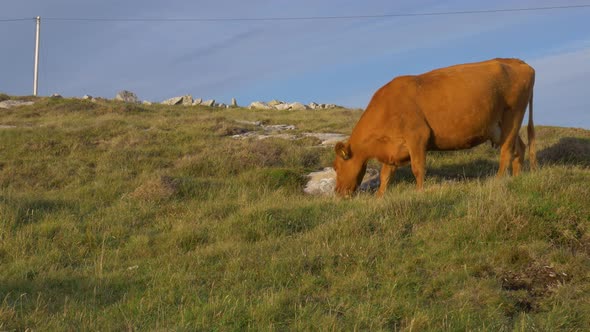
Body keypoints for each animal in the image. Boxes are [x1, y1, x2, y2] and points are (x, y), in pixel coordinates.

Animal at [336, 57, 540, 197]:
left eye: (337, 167)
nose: (338, 192)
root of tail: (519, 62)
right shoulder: (393, 148)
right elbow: (385, 175)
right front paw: (379, 198)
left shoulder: (417, 136)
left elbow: (418, 168)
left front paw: (419, 192)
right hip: (500, 126)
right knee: (519, 148)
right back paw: (516, 178)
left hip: (513, 115)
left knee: (507, 151)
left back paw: (498, 180)